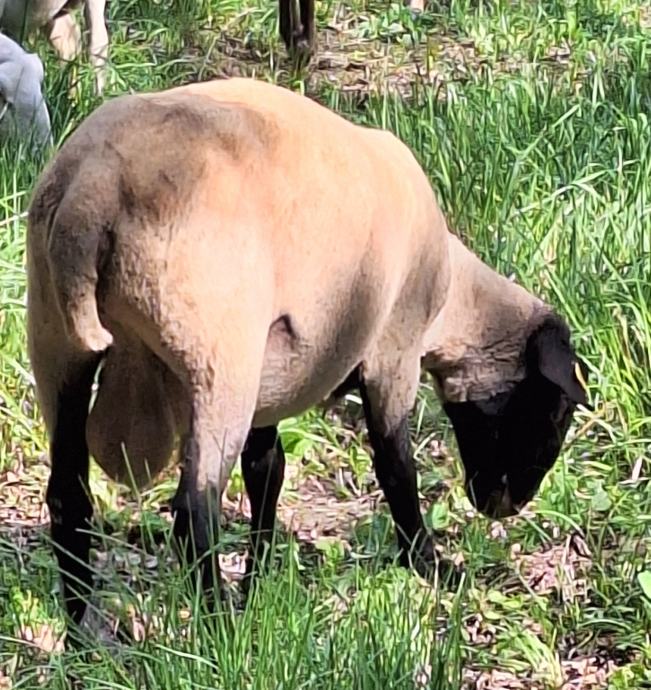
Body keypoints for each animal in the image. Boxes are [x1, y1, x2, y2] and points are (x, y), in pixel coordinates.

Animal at [26, 76, 591, 625]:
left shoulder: (276, 374)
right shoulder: (392, 356)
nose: (509, 505)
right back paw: (218, 630)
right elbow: (396, 468)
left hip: (57, 346)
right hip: (218, 360)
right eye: (557, 413)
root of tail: (91, 192)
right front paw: (429, 564)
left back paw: (82, 634)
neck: (453, 297)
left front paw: (257, 583)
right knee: (193, 514)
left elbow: (267, 470)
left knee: (69, 500)